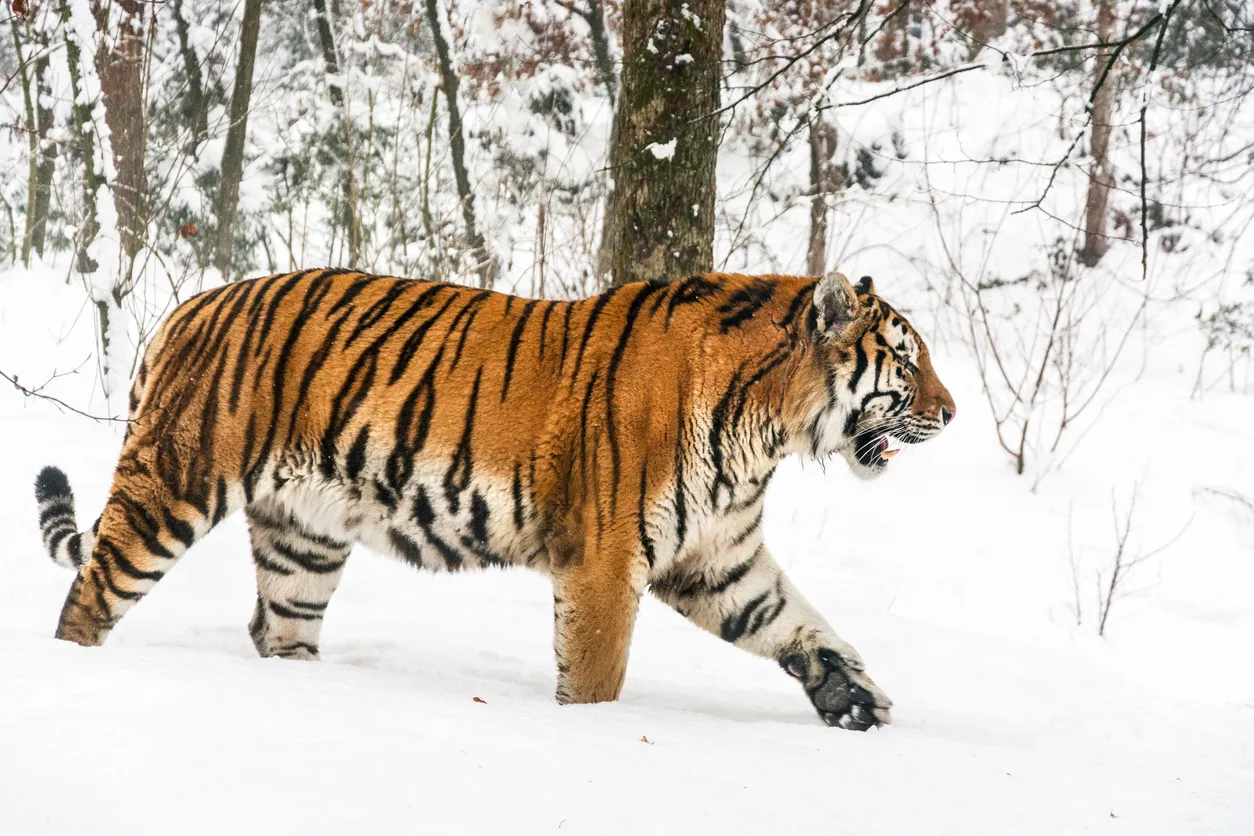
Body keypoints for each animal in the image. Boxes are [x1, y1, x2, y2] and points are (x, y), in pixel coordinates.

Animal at [36, 269, 948, 731]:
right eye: (908, 360)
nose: (952, 412)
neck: (770, 430)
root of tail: (188, 306)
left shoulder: (715, 557)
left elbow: (797, 622)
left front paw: (852, 698)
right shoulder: (606, 562)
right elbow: (598, 678)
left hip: (304, 538)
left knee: (278, 630)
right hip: (171, 486)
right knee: (90, 594)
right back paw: (72, 670)